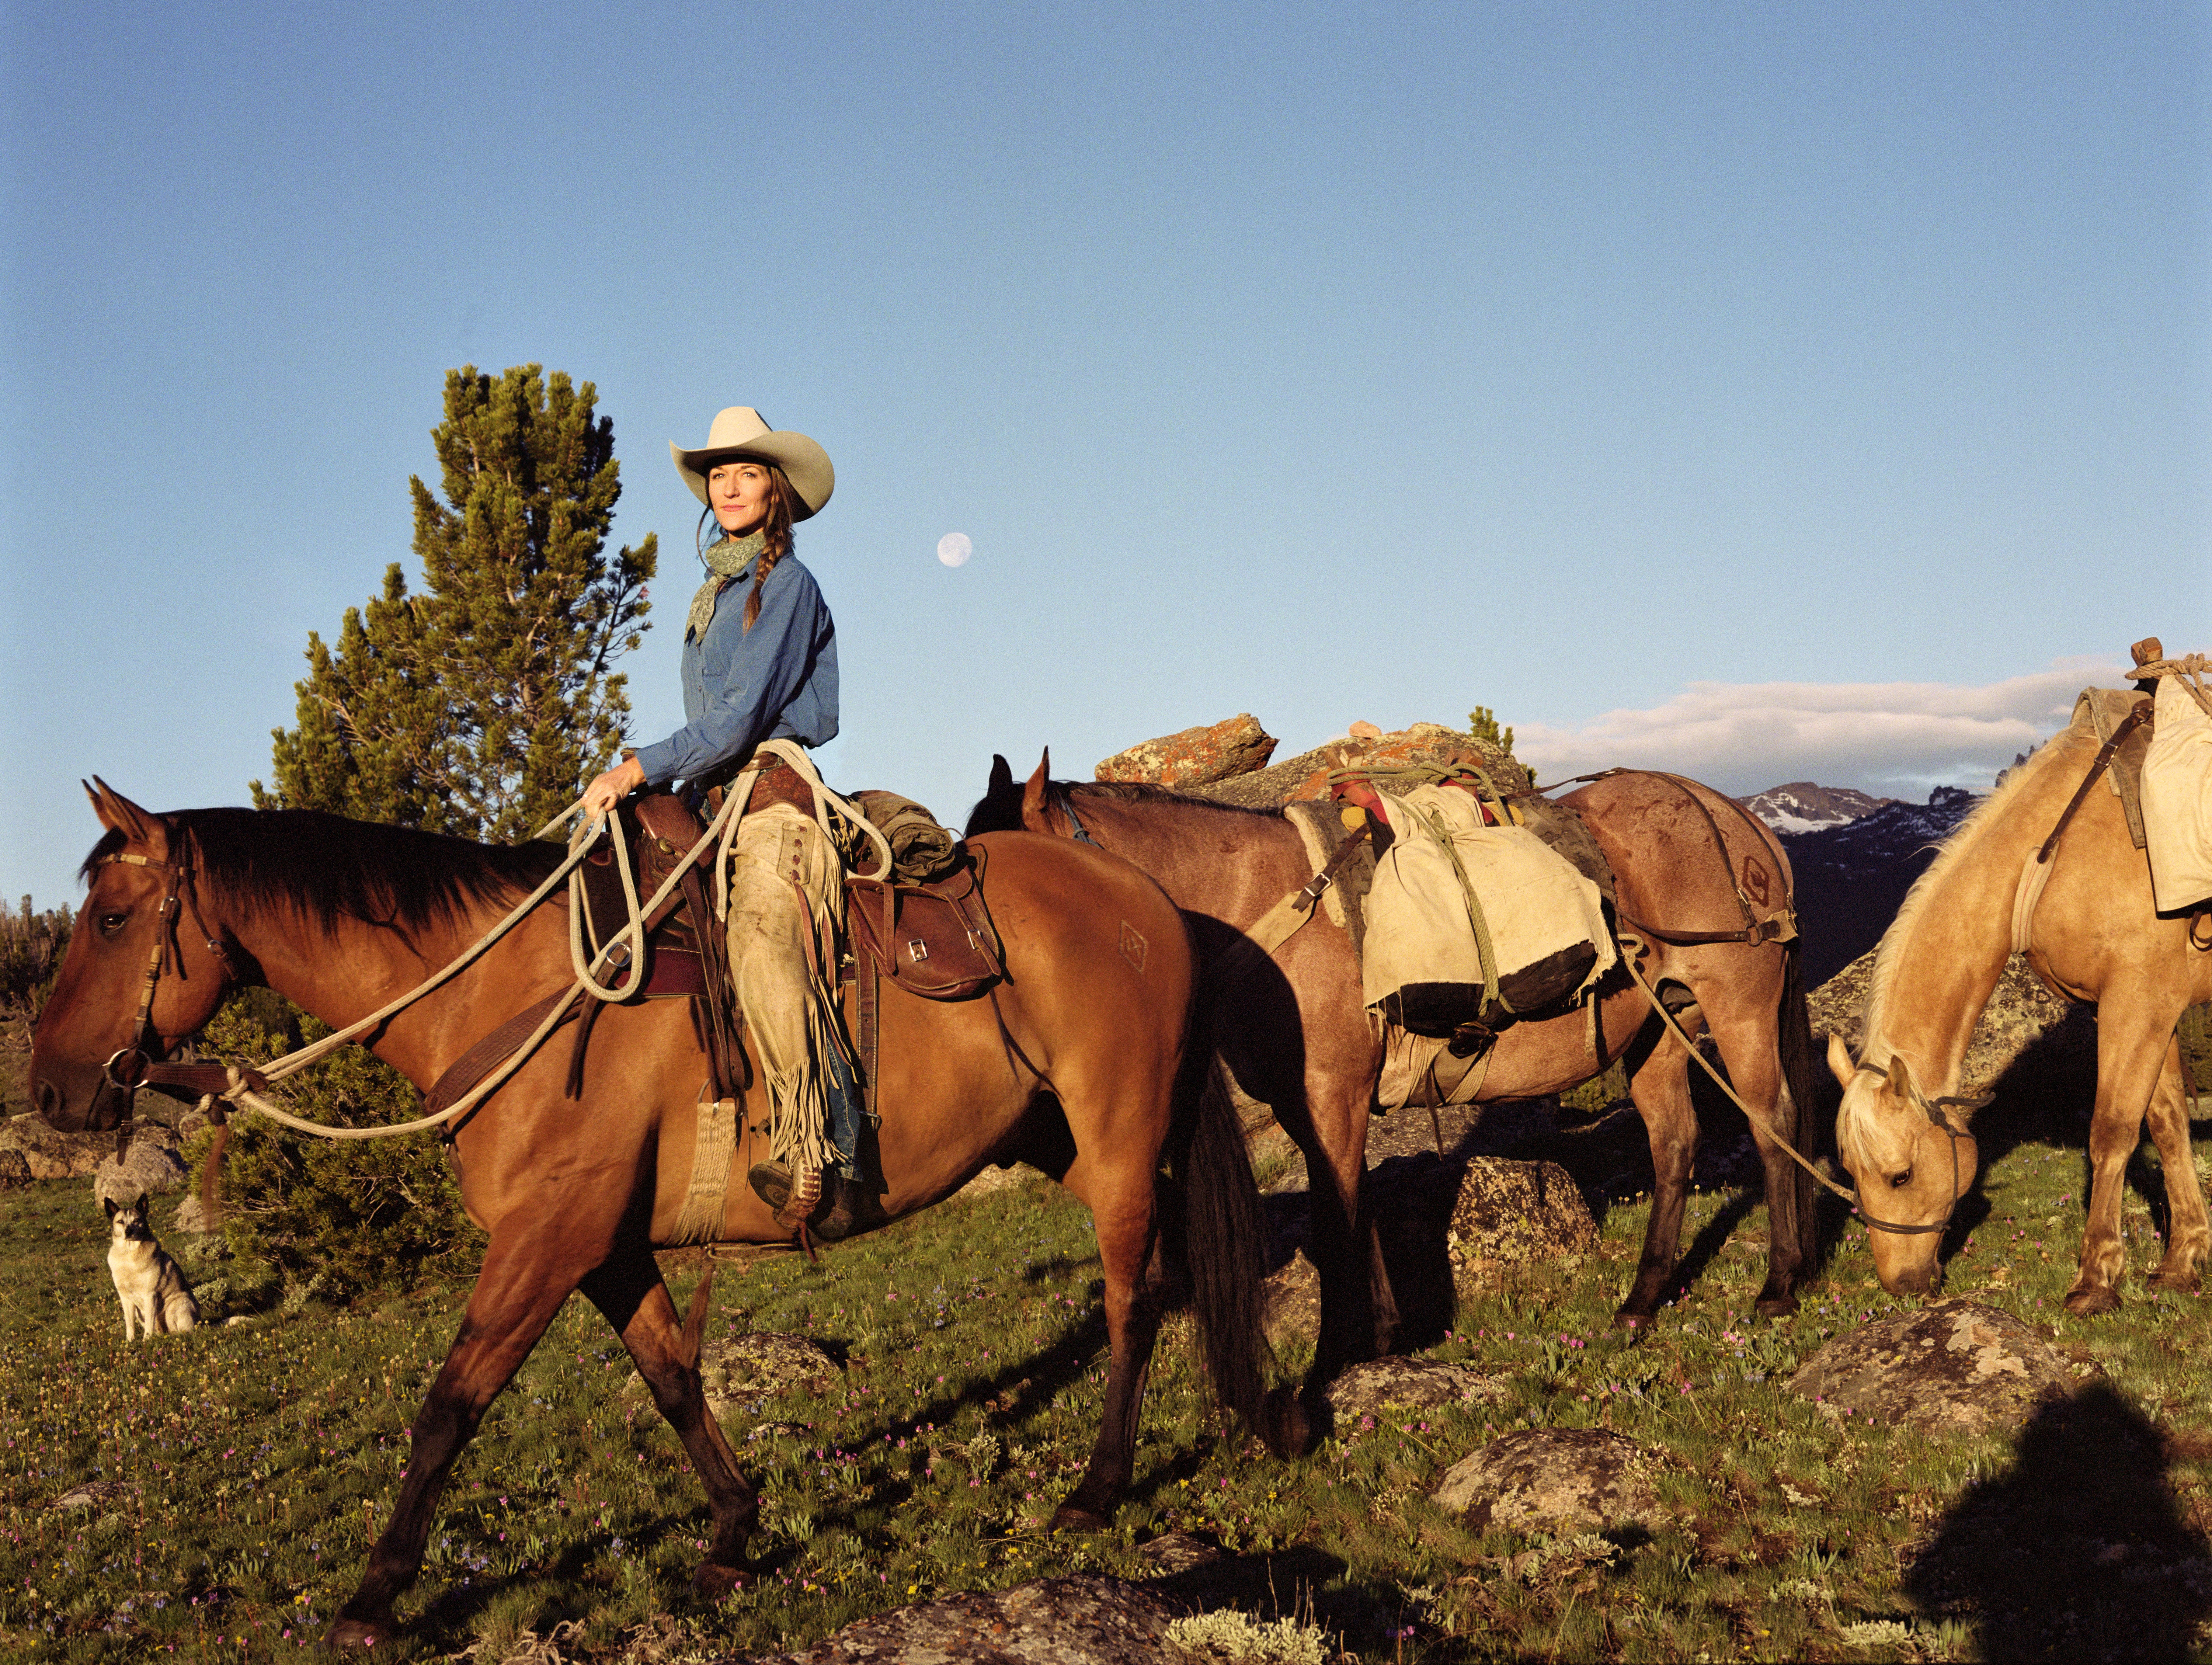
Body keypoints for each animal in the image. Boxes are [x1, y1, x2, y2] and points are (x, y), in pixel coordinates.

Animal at [104, 1194, 199, 1335]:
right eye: (120, 1222)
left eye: (137, 1221)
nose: (128, 1231)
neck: (129, 1254)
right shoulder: (126, 1298)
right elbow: (130, 1325)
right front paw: (130, 1340)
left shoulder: (150, 1295)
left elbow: (150, 1322)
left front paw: (147, 1339)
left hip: (177, 1306)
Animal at [964, 752, 1814, 1380]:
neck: (1265, 910)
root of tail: (1732, 815)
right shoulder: (1317, 1108)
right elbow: (1354, 1205)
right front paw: (1381, 1335)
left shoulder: (1330, 1095)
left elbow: (1335, 1220)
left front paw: (1337, 1357)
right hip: (1658, 1033)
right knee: (1675, 1146)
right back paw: (1641, 1300)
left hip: (1739, 1008)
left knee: (1773, 1127)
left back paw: (1778, 1285)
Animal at [1832, 725, 2212, 1309]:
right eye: (1851, 1171)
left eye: (1902, 1177)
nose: (1901, 1285)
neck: (2052, 857)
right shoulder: (2150, 1009)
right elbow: (2167, 1124)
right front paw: (2182, 1259)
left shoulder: (2138, 1001)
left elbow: (2112, 1131)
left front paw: (2097, 1276)